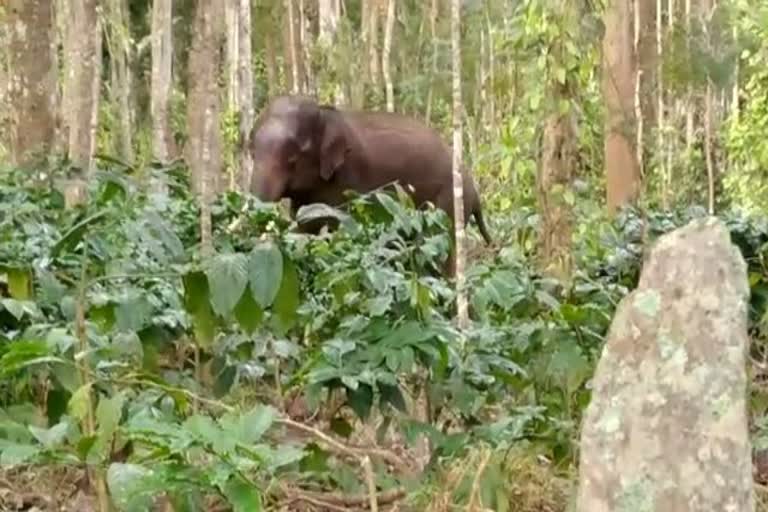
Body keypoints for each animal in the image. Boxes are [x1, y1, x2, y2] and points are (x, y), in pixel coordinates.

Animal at [249, 96, 496, 272]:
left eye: (292, 159)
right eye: (250, 152)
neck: (326, 112)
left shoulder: (349, 180)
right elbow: (305, 226)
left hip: (449, 205)